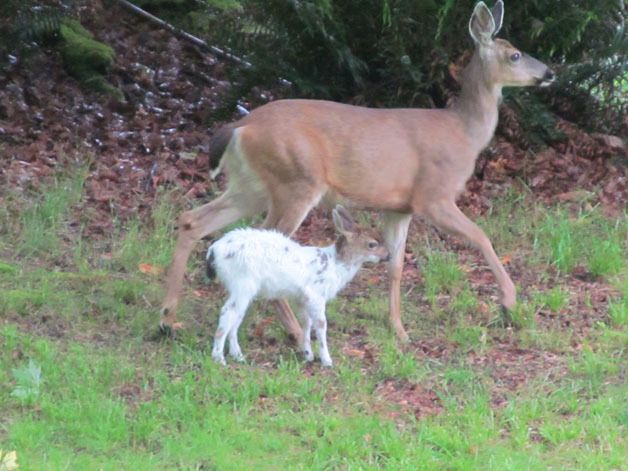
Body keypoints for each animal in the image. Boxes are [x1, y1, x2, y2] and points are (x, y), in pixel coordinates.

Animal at [157, 0, 556, 346]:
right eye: (515, 54)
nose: (549, 73)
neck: (464, 133)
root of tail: (240, 127)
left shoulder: (399, 206)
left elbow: (396, 264)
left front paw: (399, 330)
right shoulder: (433, 195)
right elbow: (481, 237)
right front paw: (509, 302)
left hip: (251, 184)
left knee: (193, 219)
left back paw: (167, 319)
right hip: (296, 180)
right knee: (267, 241)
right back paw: (296, 333)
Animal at [209, 206, 390, 368]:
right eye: (372, 244)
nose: (388, 256)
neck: (335, 265)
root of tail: (213, 251)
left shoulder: (302, 297)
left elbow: (306, 323)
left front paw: (308, 355)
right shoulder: (316, 294)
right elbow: (321, 324)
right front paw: (327, 361)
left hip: (244, 289)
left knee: (236, 317)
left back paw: (238, 356)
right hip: (242, 282)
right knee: (227, 312)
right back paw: (219, 359)